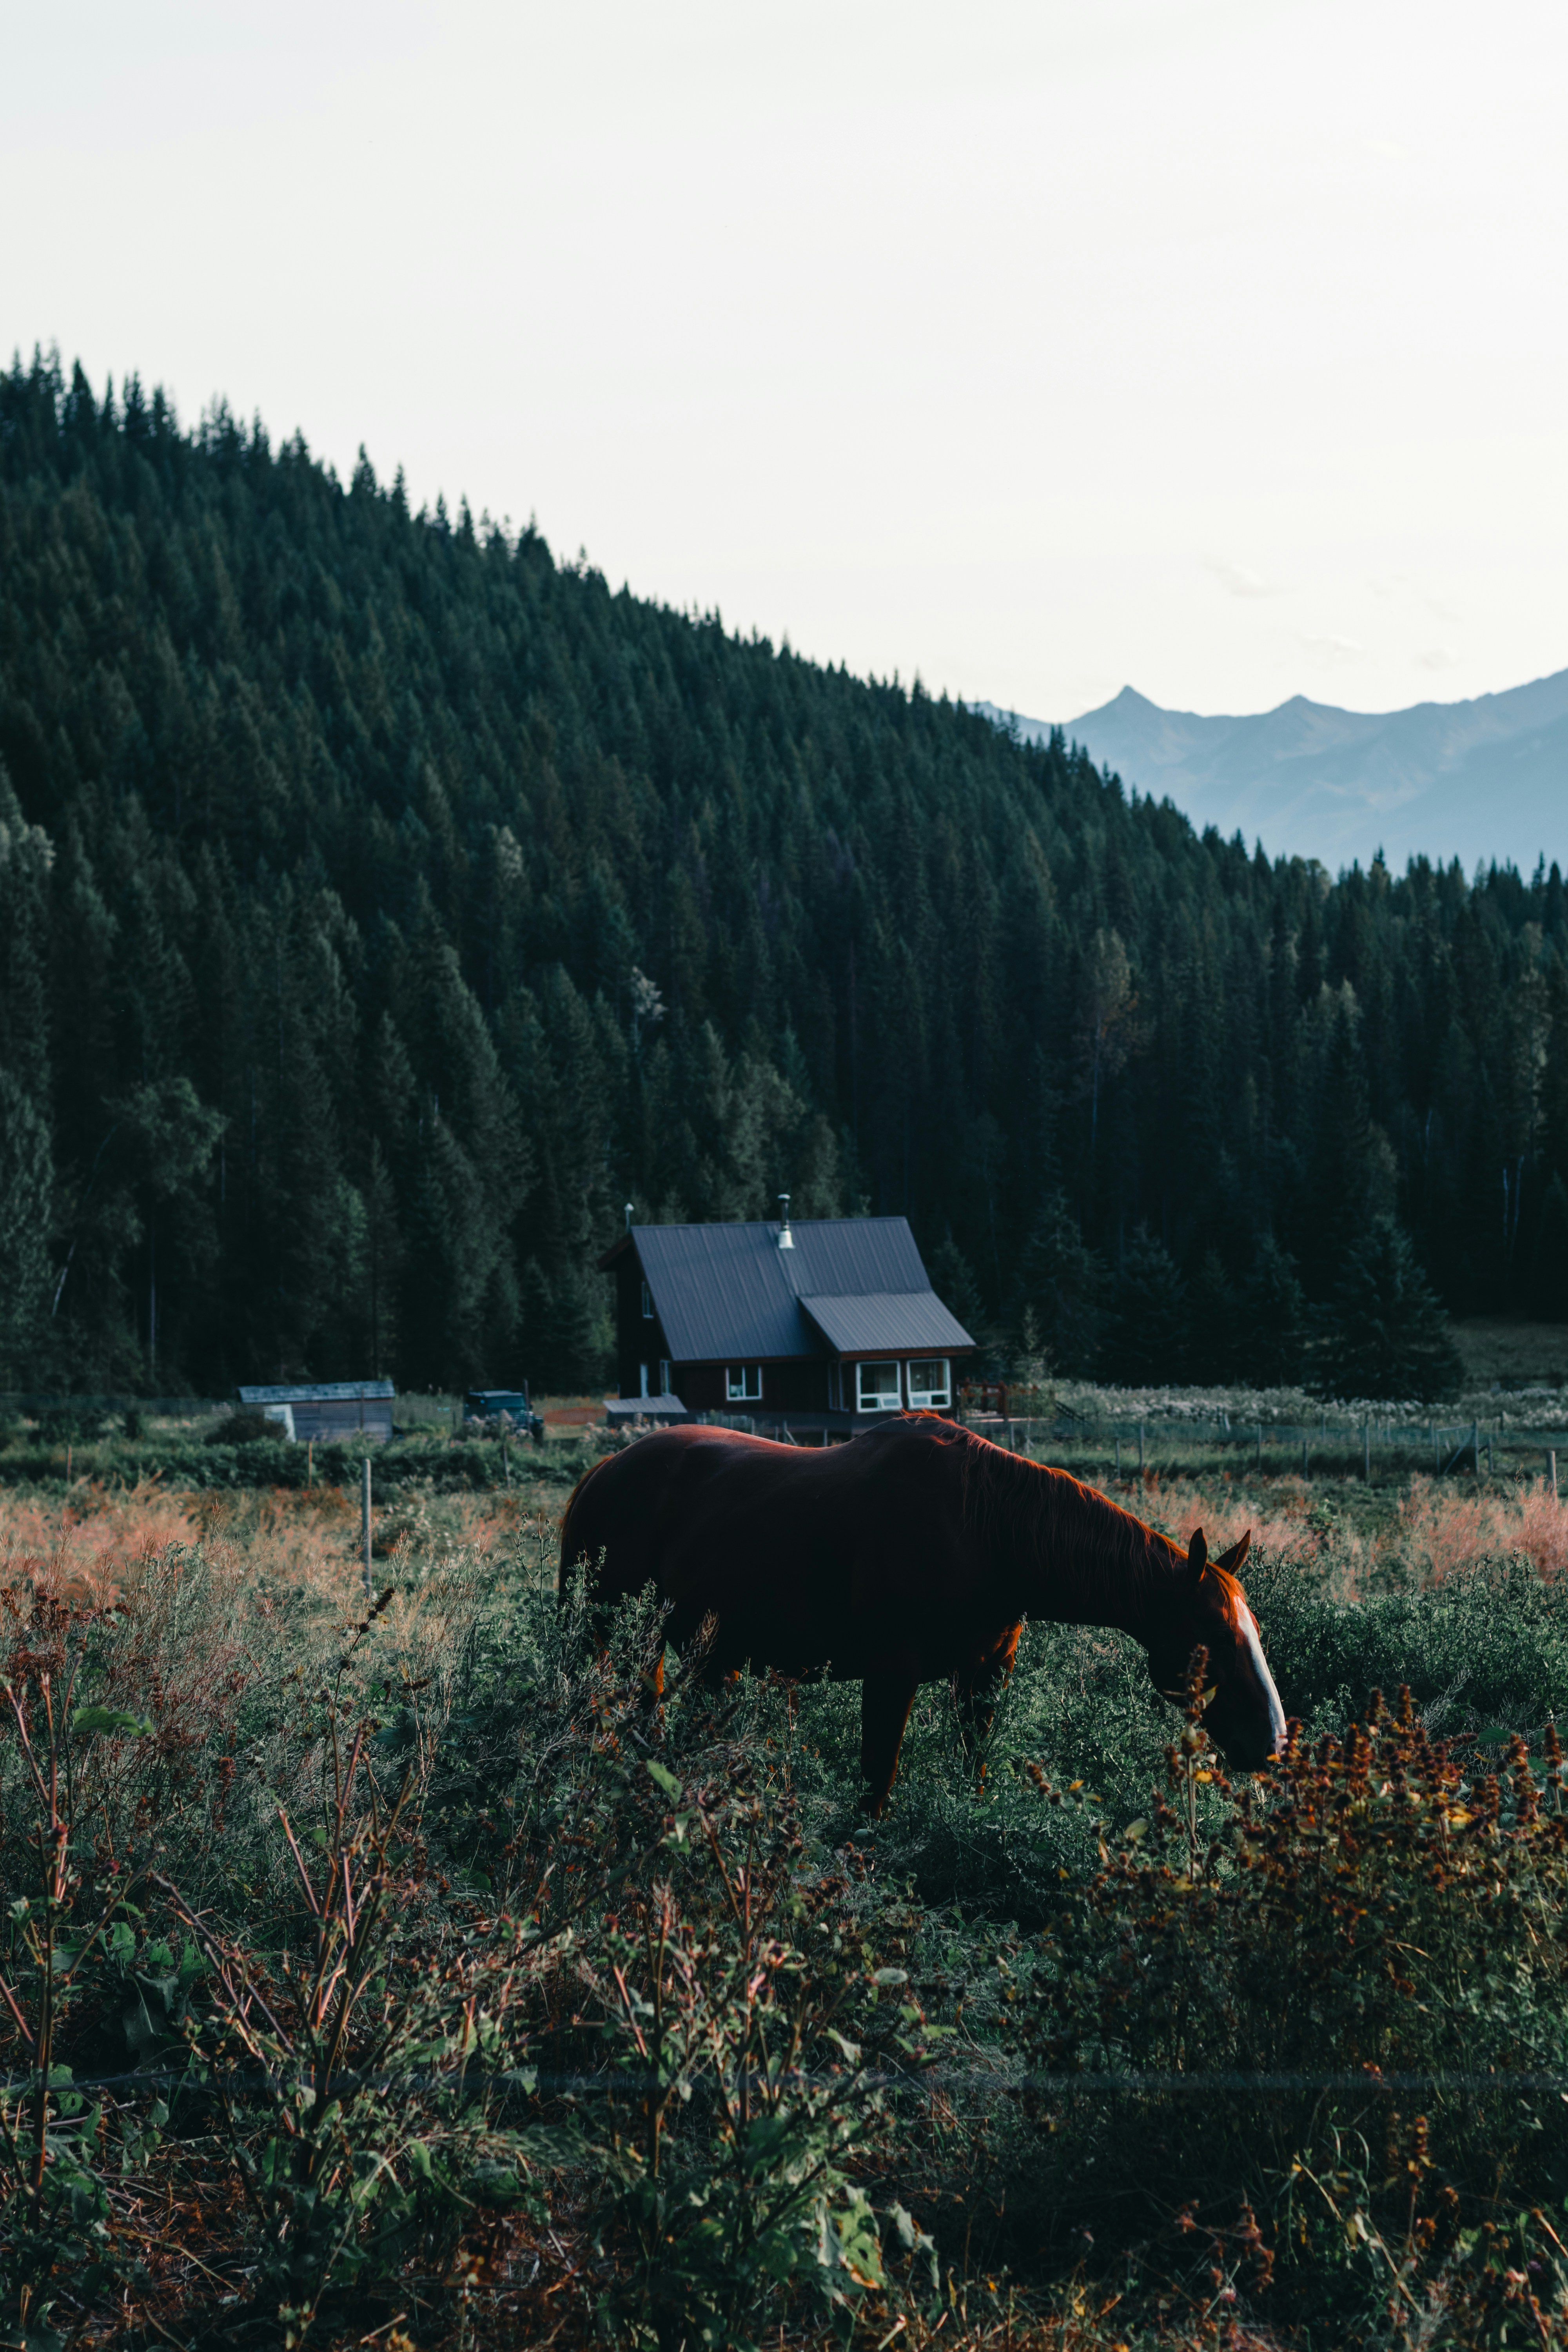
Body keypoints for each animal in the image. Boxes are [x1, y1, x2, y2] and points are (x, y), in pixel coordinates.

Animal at [562, 1402, 1288, 1806]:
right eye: (1213, 1635)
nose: (1274, 1743)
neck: (987, 1531)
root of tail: (601, 1473)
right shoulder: (891, 1674)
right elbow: (876, 1785)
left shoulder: (986, 1674)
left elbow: (976, 1768)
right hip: (603, 1637)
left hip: (706, 1657)